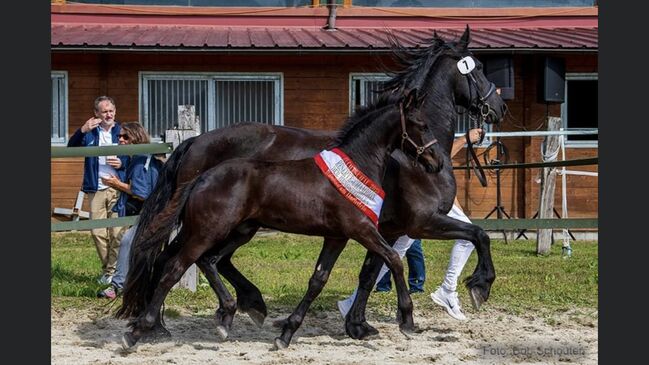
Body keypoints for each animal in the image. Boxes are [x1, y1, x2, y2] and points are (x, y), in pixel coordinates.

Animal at [116, 26, 504, 346]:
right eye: (478, 68)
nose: (498, 107)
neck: (398, 160)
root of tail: (193, 142)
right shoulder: (420, 223)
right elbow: (477, 235)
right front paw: (479, 287)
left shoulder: (383, 228)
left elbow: (368, 273)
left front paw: (357, 325)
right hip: (213, 225)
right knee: (178, 259)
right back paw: (159, 324)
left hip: (238, 226)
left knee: (200, 259)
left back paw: (228, 310)